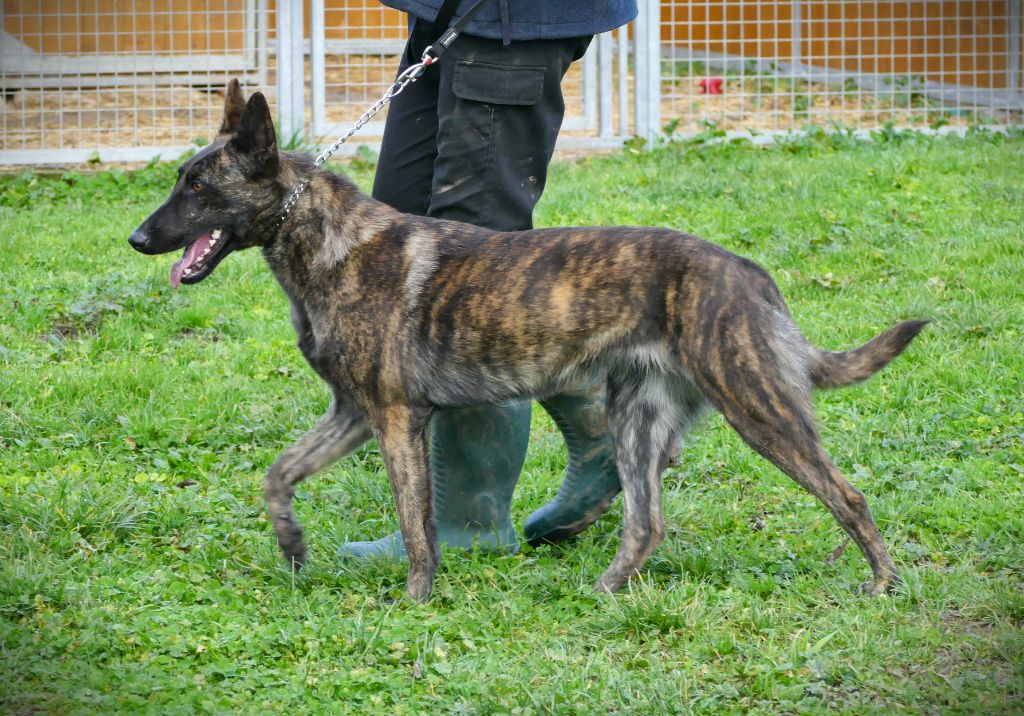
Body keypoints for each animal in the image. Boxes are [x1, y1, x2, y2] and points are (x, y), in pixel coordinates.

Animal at [128, 81, 929, 602]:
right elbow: (277, 475)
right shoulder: (352, 415)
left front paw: (417, 601)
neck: (324, 240)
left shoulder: (393, 420)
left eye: (197, 186)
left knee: (848, 495)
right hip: (638, 419)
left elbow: (416, 526)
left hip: (760, 410)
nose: (137, 238)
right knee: (645, 522)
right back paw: (602, 590)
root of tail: (748, 273)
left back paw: (885, 584)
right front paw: (293, 547)